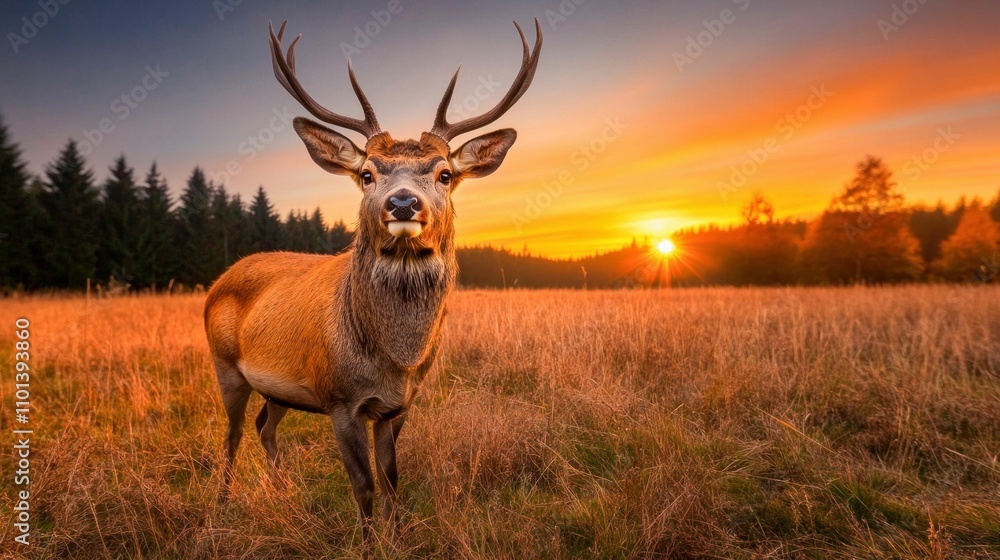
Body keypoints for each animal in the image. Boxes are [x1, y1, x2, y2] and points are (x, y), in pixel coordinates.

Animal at [203, 19, 542, 544]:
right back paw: (221, 505)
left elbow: (391, 480)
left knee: (264, 425)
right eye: (366, 173)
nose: (402, 203)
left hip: (280, 388)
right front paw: (367, 544)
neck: (395, 361)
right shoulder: (340, 398)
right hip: (225, 366)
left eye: (445, 174)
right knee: (232, 434)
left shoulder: (398, 406)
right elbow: (362, 485)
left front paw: (399, 537)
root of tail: (222, 278)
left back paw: (282, 493)